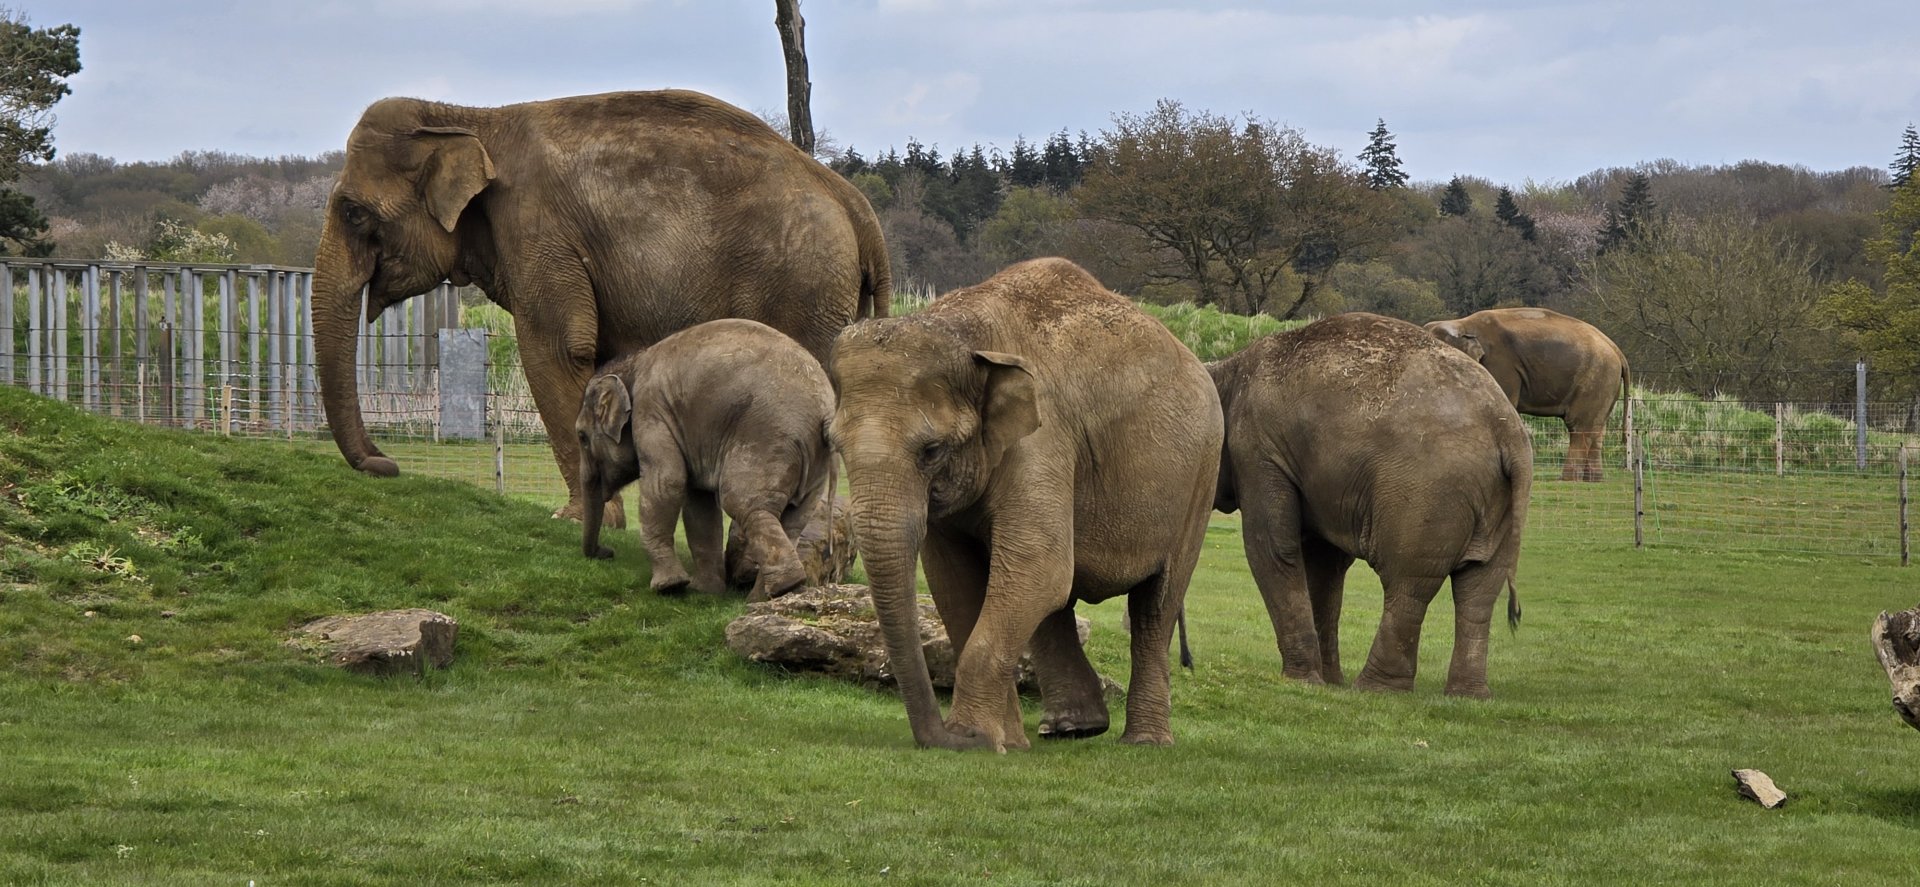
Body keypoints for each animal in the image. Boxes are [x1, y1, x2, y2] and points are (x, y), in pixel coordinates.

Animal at [312, 89, 889, 523]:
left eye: (354, 213)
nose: (386, 465)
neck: (471, 118)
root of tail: (858, 208)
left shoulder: (539, 232)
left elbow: (555, 350)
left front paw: (576, 520)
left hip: (805, 288)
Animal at [576, 319, 835, 602]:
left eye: (581, 437)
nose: (606, 552)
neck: (632, 365)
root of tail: (826, 412)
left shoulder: (650, 411)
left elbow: (666, 482)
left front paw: (669, 587)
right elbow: (698, 502)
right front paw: (704, 592)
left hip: (768, 440)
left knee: (743, 503)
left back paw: (782, 588)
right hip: (814, 463)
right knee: (793, 521)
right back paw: (766, 598)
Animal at [829, 258, 1223, 751]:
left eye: (931, 451)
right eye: (834, 444)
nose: (945, 736)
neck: (964, 334)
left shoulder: (1043, 440)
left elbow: (1040, 565)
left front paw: (977, 737)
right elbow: (956, 581)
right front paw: (1000, 742)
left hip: (1201, 477)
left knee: (1155, 604)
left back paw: (1144, 743)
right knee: (1055, 603)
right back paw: (1072, 729)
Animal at [1211, 312, 1531, 698]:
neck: (1228, 368)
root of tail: (1509, 432)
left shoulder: (1258, 448)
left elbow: (1273, 548)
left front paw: (1303, 683)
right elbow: (1324, 564)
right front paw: (1329, 682)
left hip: (1426, 494)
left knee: (1408, 581)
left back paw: (1375, 689)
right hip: (1499, 504)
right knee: (1480, 588)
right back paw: (1467, 695)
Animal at [1424, 307, 1630, 482]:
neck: (1462, 324)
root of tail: (1617, 350)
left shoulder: (1501, 365)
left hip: (1596, 377)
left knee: (1580, 427)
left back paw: (1568, 479)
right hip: (1606, 384)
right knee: (1597, 429)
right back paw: (1593, 480)